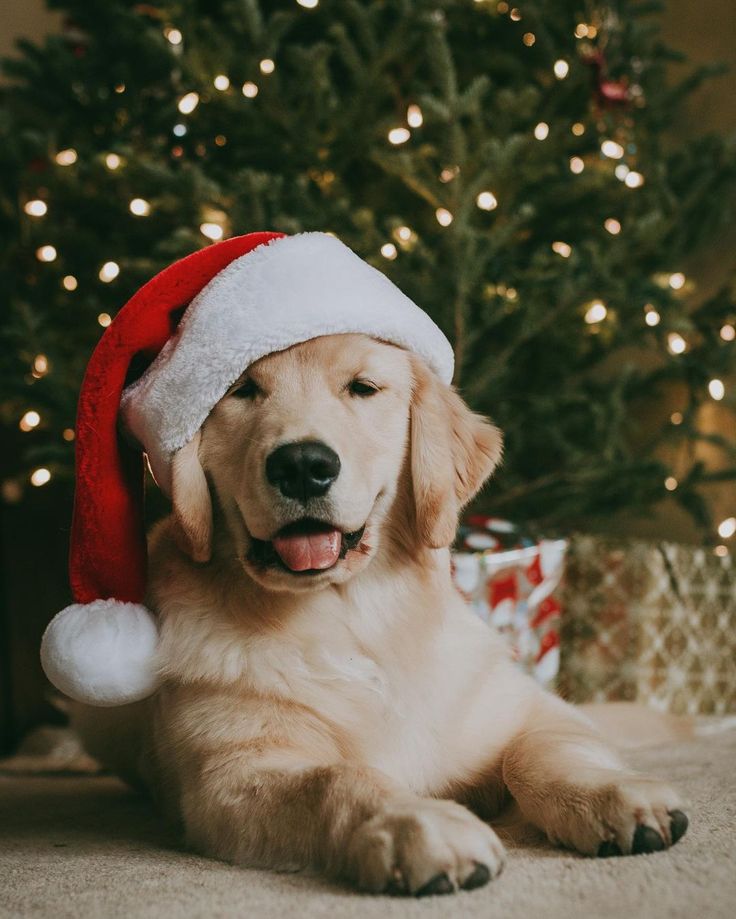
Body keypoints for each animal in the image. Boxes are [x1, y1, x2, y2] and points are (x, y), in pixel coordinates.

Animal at [73, 332, 684, 900]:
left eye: (363, 388)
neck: (352, 622)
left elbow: (543, 754)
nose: (302, 465)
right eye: (242, 391)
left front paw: (614, 796)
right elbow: (336, 778)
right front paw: (417, 823)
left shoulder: (533, 710)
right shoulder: (229, 775)